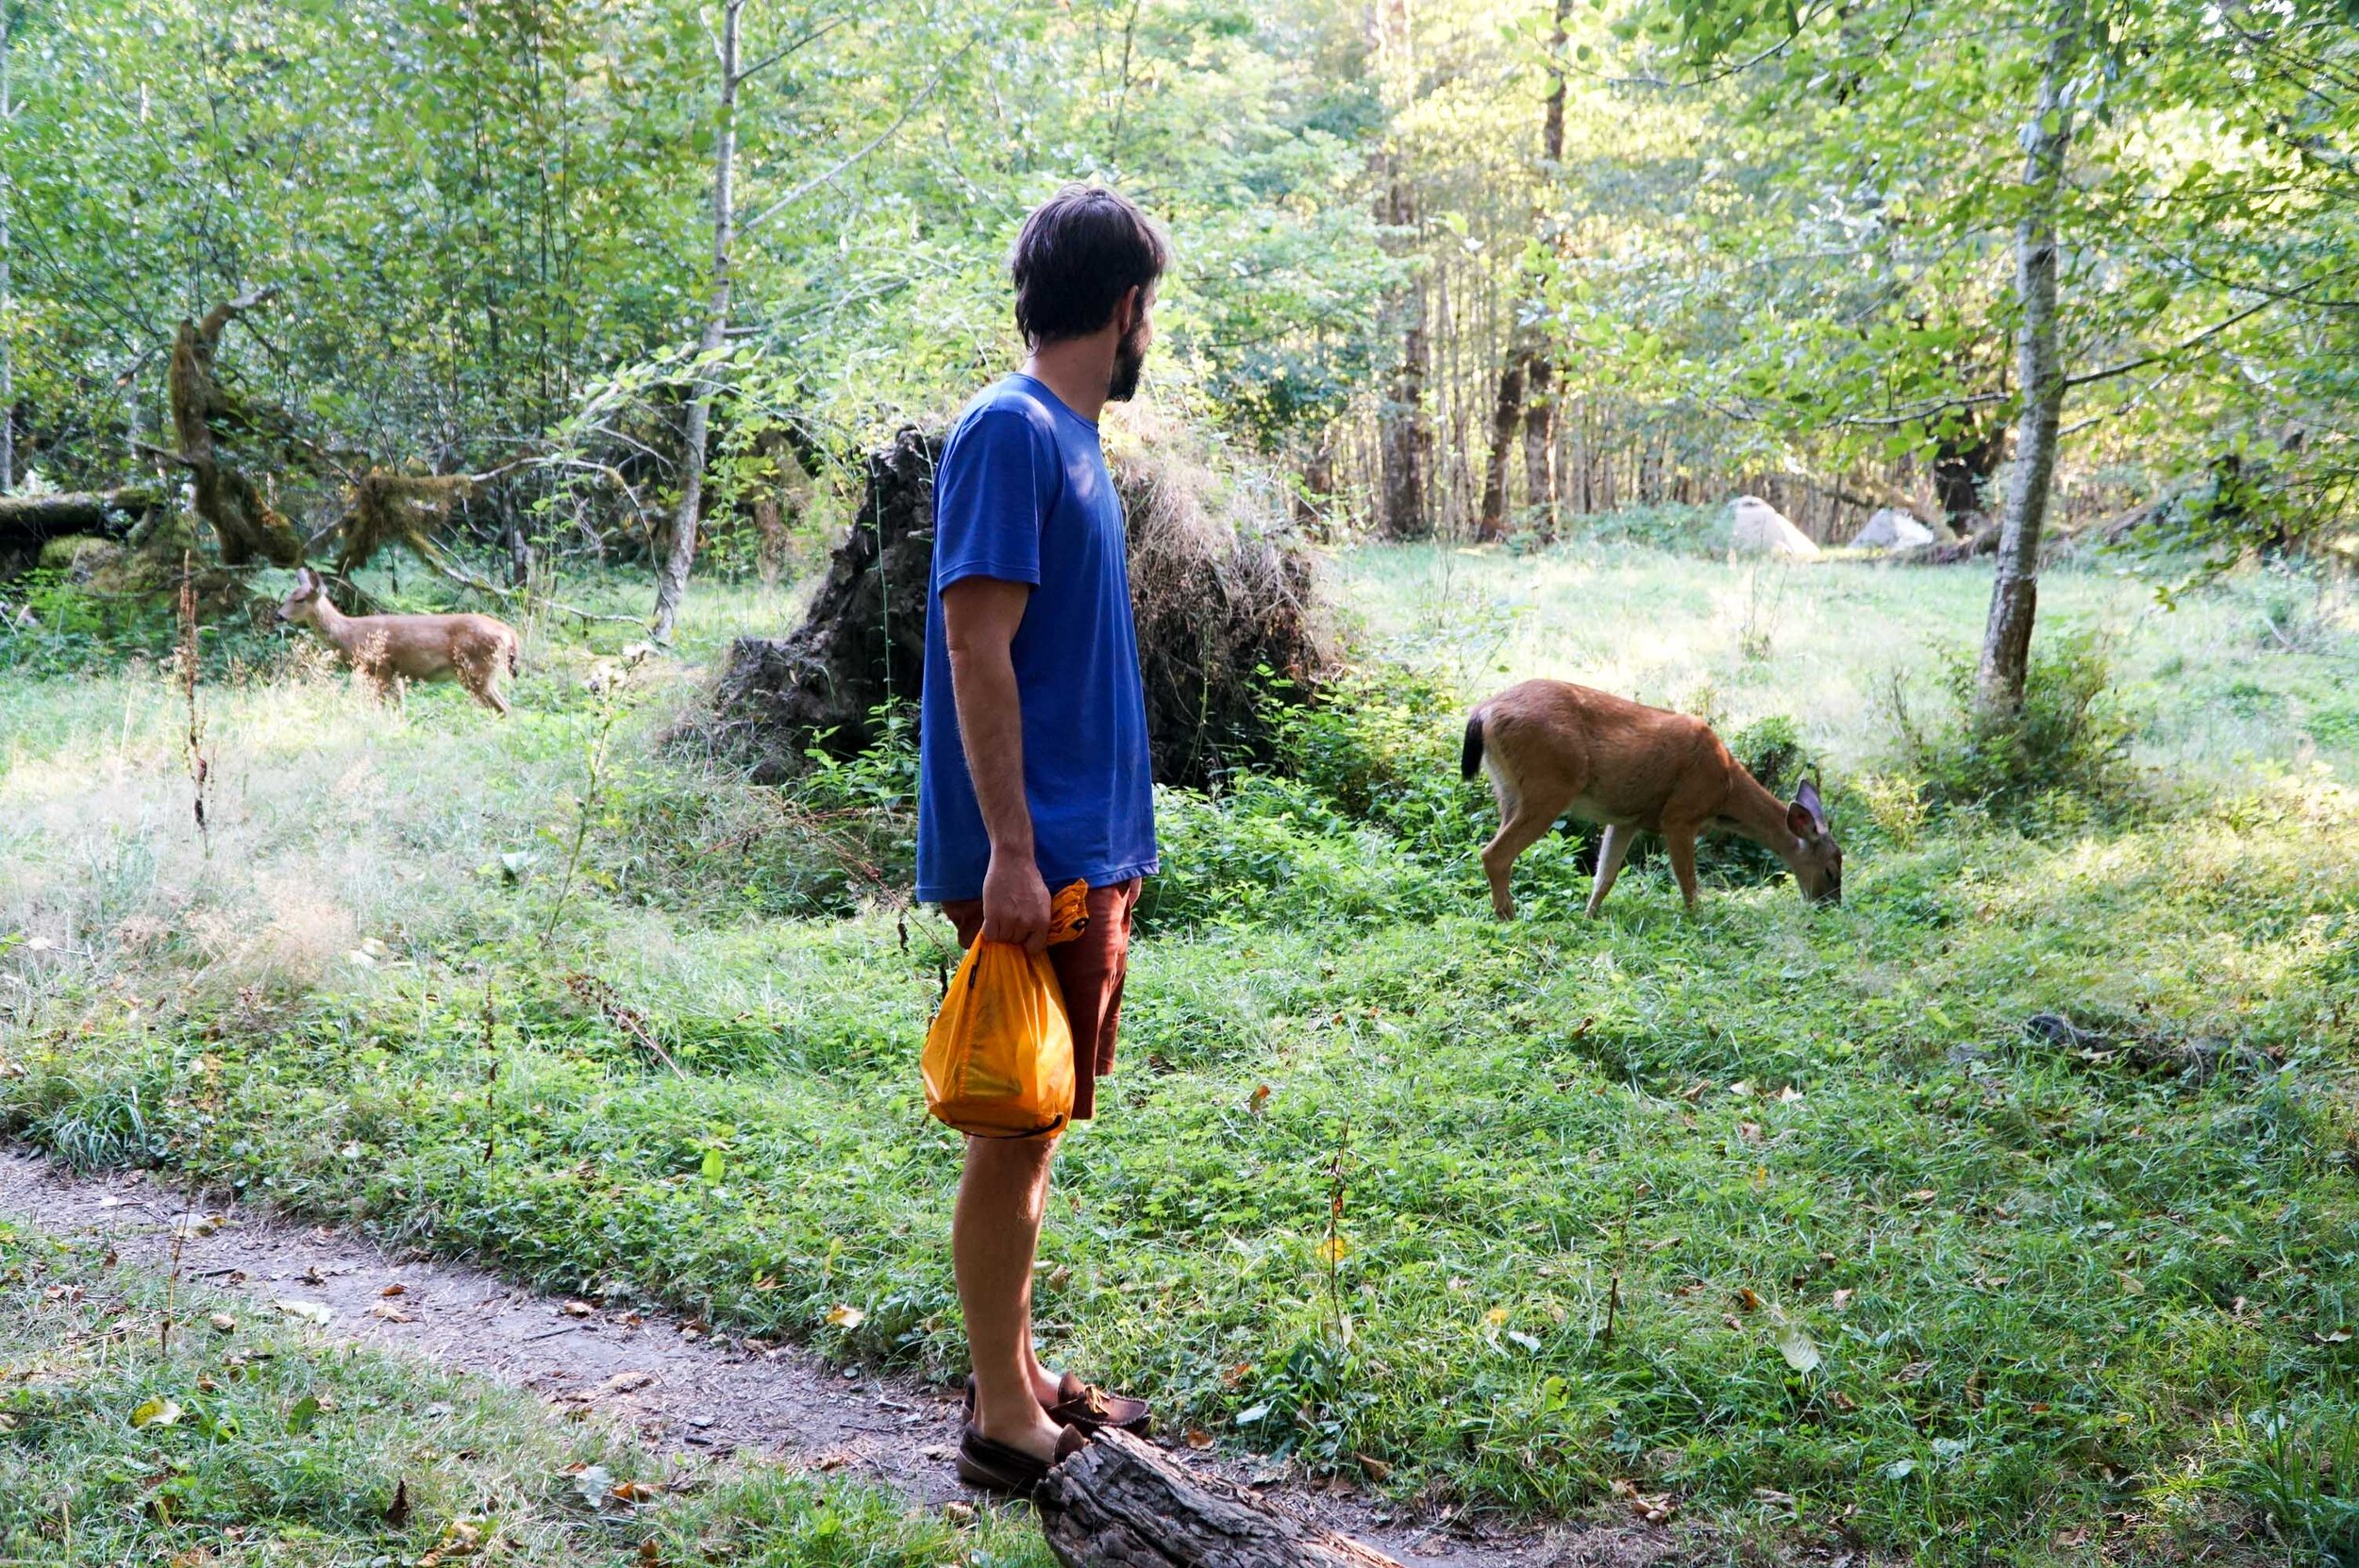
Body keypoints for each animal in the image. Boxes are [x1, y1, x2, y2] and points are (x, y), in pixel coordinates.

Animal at [278, 565, 524, 711]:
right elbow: (400, 708)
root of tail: (510, 632)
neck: (349, 635)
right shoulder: (395, 672)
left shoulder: (379, 666)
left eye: (300, 599)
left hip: (477, 669)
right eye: (289, 595)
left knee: (505, 708)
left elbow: (378, 705)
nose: (278, 615)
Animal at [1453, 674, 1840, 919]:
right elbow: (1688, 881)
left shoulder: (1627, 819)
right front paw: (1698, 920)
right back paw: (1508, 916)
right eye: (1831, 869)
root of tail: (1483, 711)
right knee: (1493, 854)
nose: (1830, 906)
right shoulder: (1679, 815)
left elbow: (1605, 877)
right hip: (1549, 786)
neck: (1725, 789)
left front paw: (1588, 917)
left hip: (1508, 790)